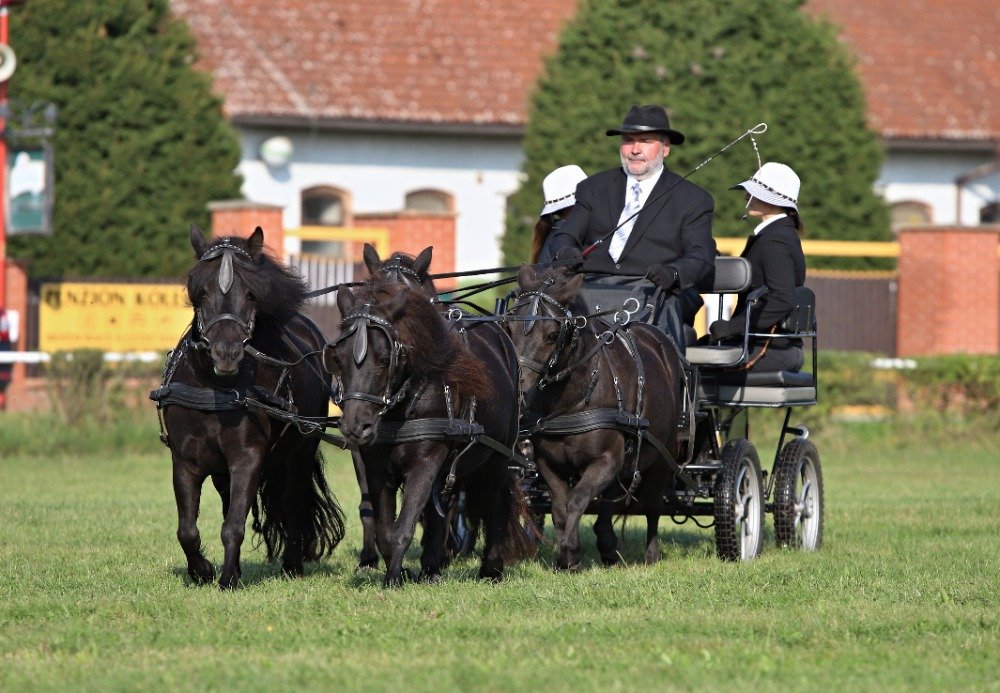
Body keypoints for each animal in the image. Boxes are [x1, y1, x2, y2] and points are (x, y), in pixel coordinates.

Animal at [154, 228, 344, 588]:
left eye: (251, 295)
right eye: (201, 291)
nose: (226, 353)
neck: (216, 389)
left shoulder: (247, 456)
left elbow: (234, 525)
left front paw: (228, 578)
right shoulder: (185, 459)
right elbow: (187, 529)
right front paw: (203, 570)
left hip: (301, 451)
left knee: (294, 502)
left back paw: (292, 565)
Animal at [324, 280, 536, 584]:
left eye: (385, 359)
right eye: (338, 359)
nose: (355, 426)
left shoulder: (425, 462)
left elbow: (403, 526)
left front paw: (392, 580)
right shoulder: (376, 468)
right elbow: (385, 531)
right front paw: (402, 571)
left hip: (496, 456)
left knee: (495, 502)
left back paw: (491, 568)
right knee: (442, 509)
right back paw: (432, 567)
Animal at [512, 264, 684, 568]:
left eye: (551, 335)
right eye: (510, 327)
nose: (519, 390)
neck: (574, 398)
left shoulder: (606, 459)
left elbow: (577, 500)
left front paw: (570, 552)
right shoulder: (548, 463)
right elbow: (560, 507)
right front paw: (564, 557)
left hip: (663, 457)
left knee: (653, 506)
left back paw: (651, 554)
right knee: (609, 502)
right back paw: (607, 546)